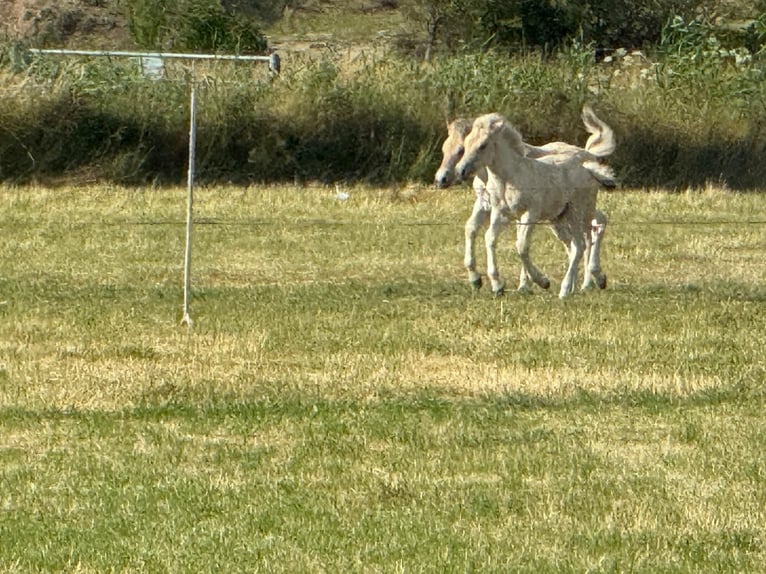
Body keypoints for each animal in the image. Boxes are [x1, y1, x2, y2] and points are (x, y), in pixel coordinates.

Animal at [434, 105, 614, 292]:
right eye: (444, 149)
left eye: (461, 150)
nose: (441, 179)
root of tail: (589, 156)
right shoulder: (489, 207)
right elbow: (474, 230)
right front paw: (479, 280)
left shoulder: (527, 213)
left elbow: (520, 244)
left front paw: (531, 283)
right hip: (558, 218)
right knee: (575, 241)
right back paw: (579, 284)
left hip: (580, 210)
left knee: (594, 229)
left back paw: (588, 282)